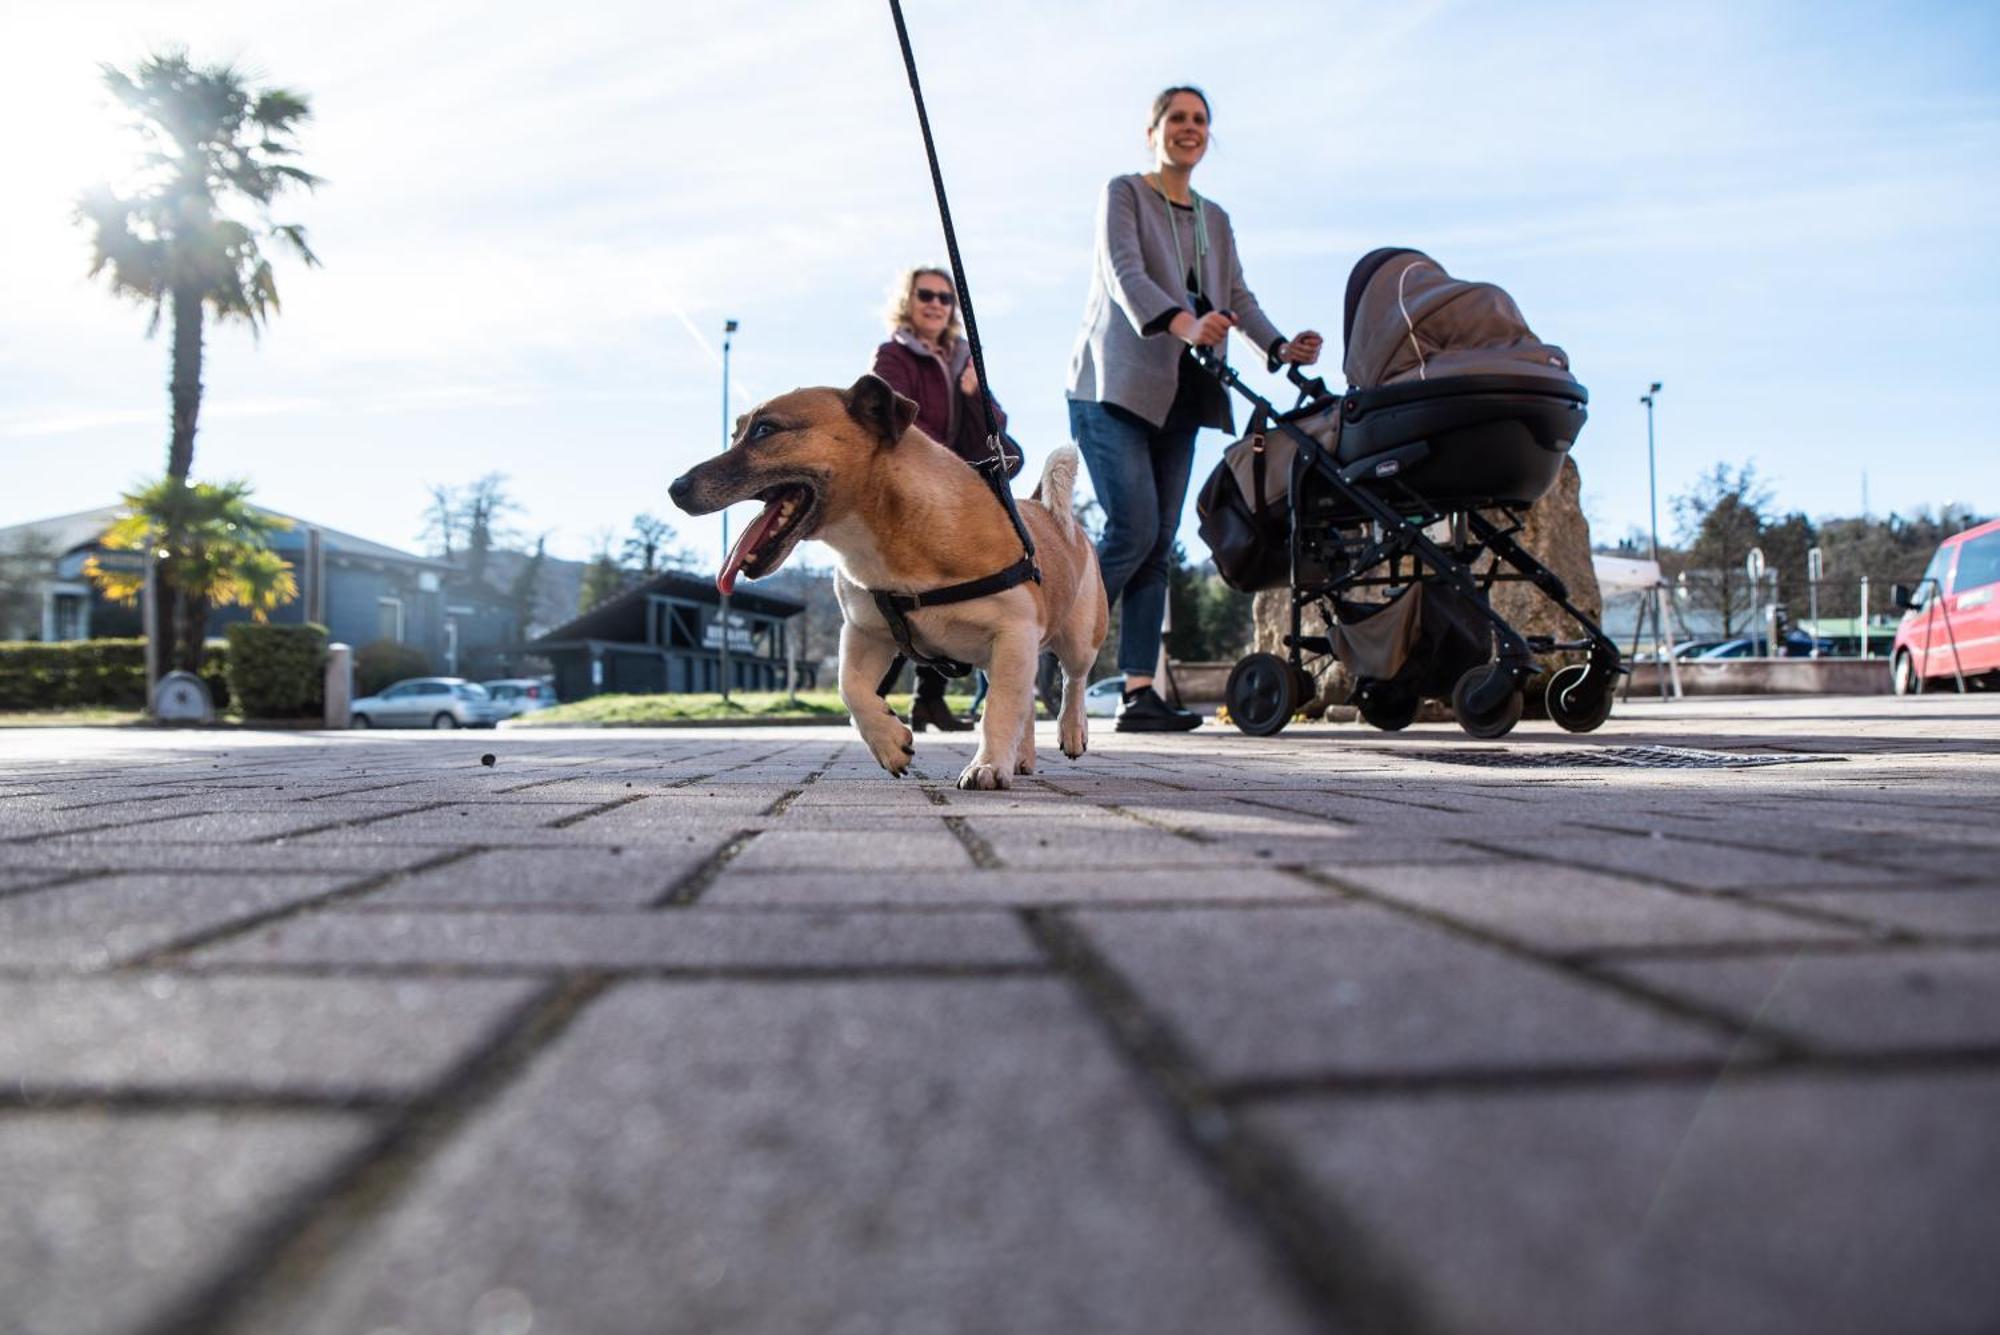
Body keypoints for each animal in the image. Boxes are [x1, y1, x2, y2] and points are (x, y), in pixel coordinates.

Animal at [672, 373, 1112, 791]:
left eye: (765, 430)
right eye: (737, 433)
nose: (675, 488)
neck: (892, 525)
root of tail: (1046, 509)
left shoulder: (1013, 632)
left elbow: (999, 709)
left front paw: (987, 766)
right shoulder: (865, 632)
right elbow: (850, 687)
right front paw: (889, 742)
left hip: (1076, 641)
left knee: (1072, 680)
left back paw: (1071, 731)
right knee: (1028, 703)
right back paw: (1020, 757)